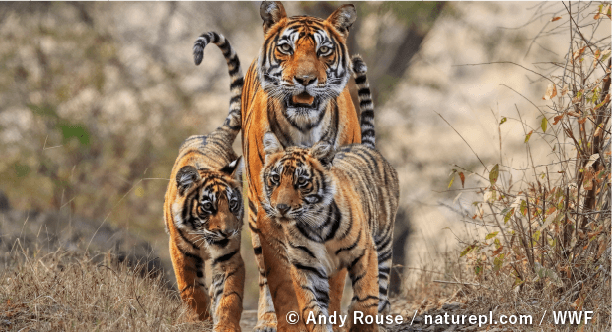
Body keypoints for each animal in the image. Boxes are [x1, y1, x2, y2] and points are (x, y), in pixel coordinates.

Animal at [167, 30, 246, 330]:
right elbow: (191, 288)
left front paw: (225, 324)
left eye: (232, 205)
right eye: (208, 207)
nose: (226, 232)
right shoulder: (181, 251)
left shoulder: (230, 255)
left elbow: (230, 296)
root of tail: (214, 134)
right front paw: (199, 317)